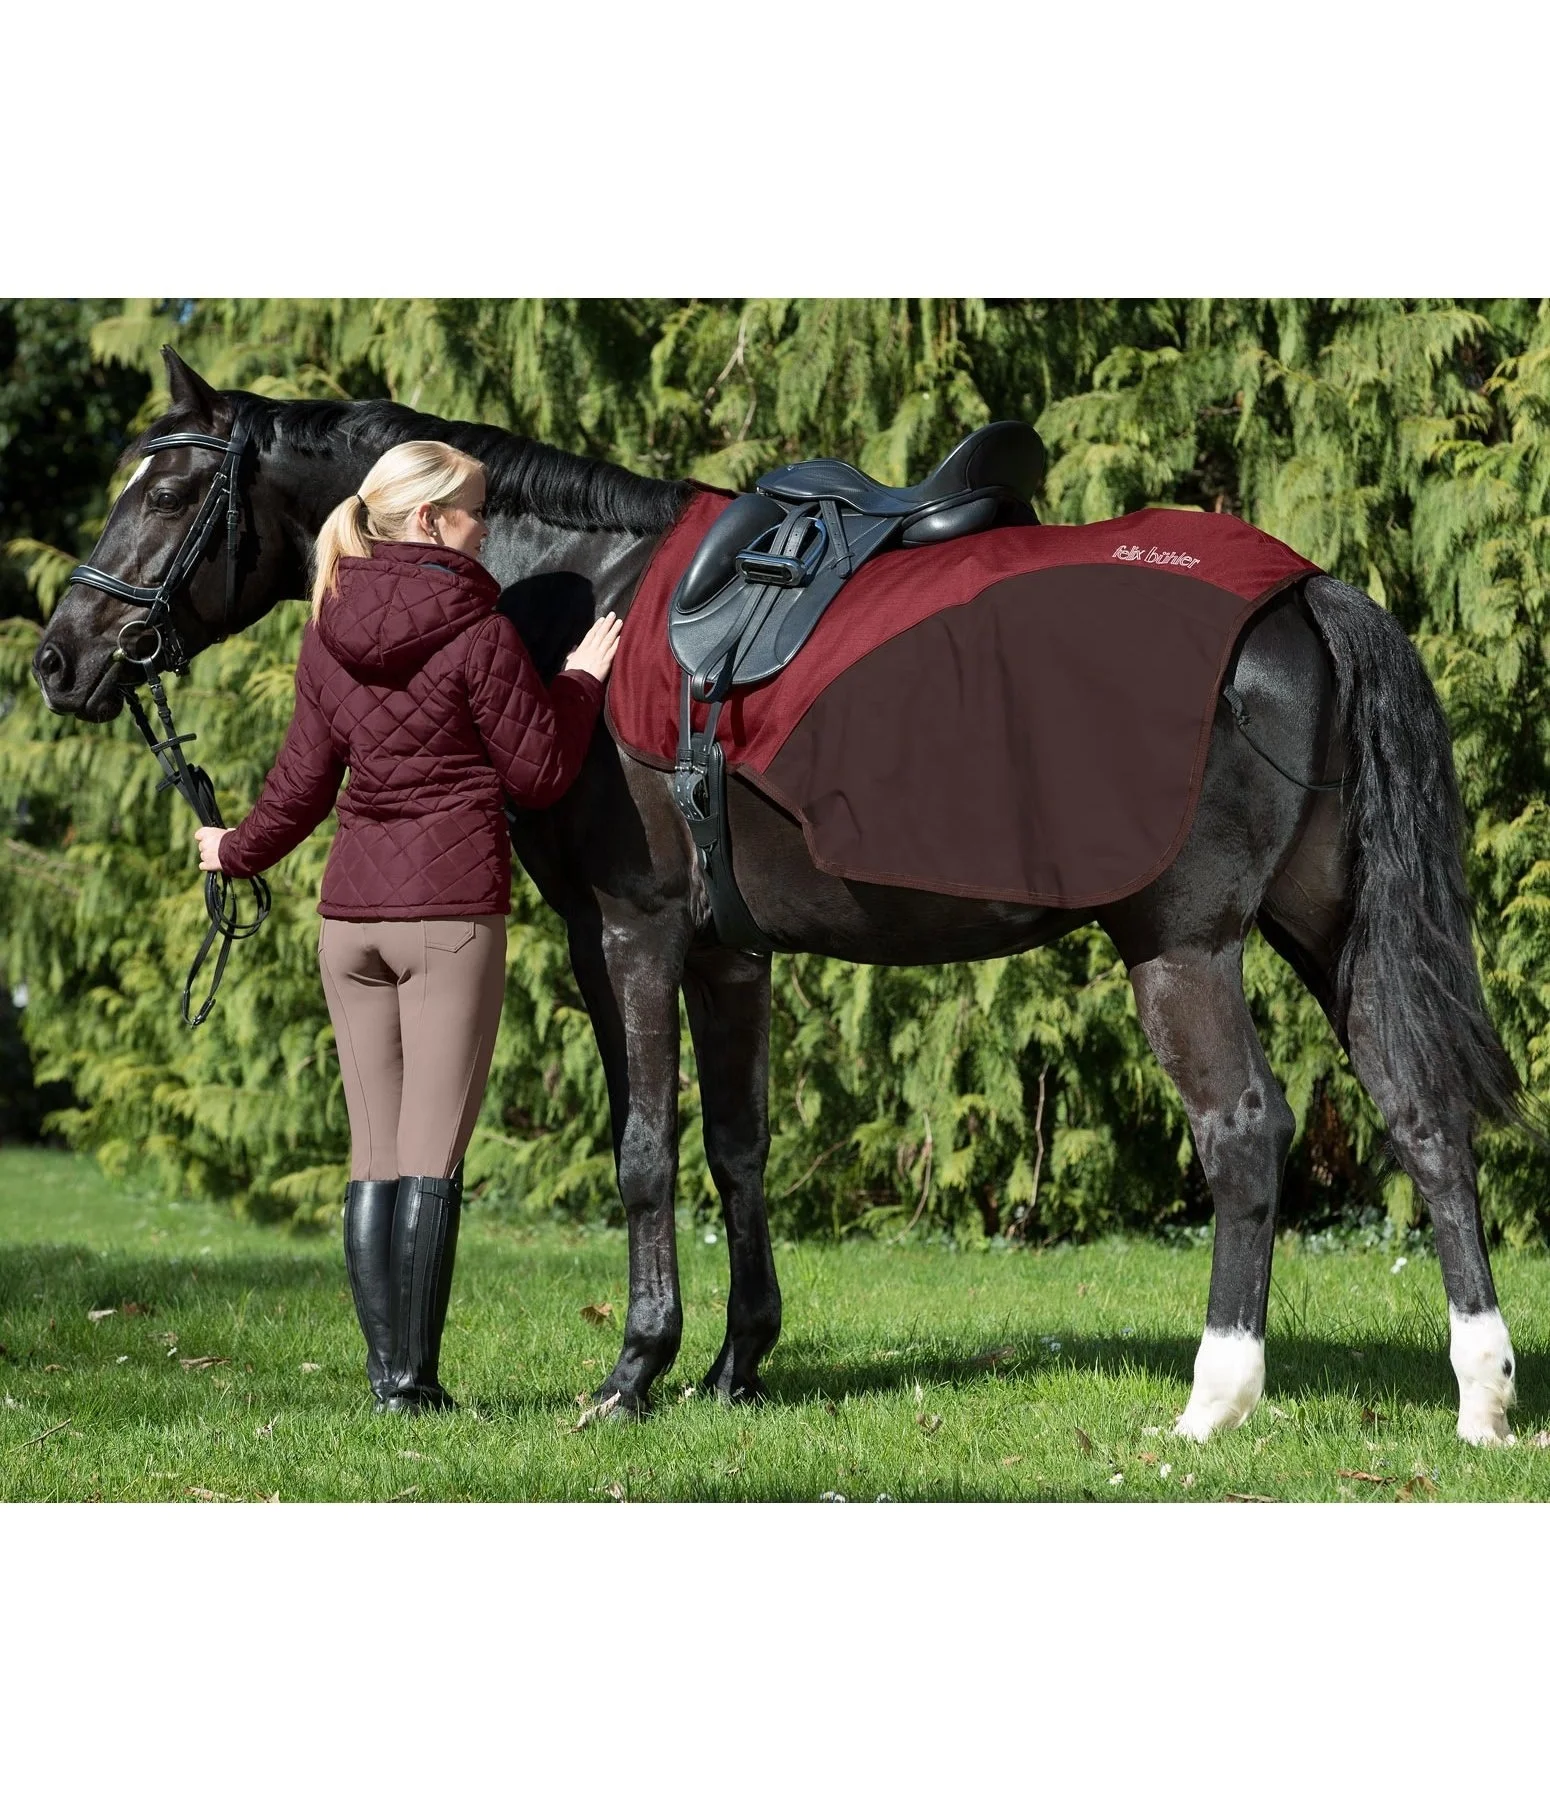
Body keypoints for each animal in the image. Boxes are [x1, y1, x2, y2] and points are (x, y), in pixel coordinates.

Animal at [32, 346, 1526, 1445]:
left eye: (165, 494)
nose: (58, 660)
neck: (576, 595)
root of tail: (1301, 594)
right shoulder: (725, 954)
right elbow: (738, 1148)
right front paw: (736, 1367)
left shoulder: (621, 932)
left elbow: (643, 1147)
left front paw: (634, 1372)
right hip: (1327, 930)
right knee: (1421, 1117)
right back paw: (1480, 1396)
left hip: (1181, 945)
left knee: (1243, 1135)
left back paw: (1215, 1400)